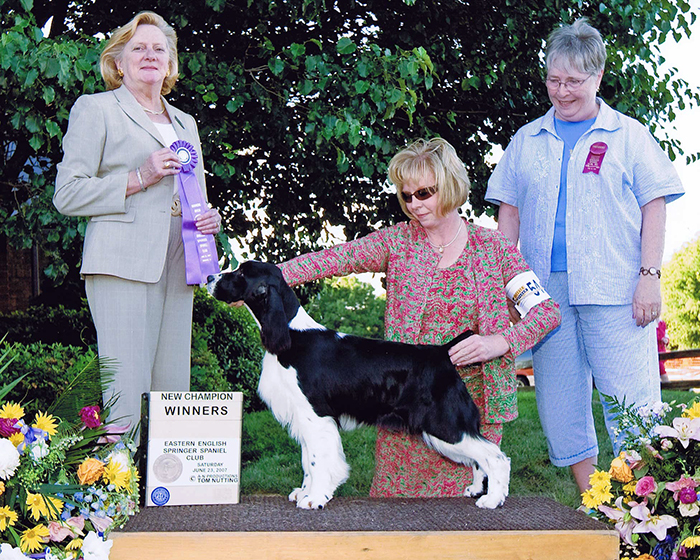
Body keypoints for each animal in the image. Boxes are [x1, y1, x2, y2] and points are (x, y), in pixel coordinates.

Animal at [207, 261, 510, 509]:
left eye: (241, 273)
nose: (209, 276)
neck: (291, 337)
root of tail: (443, 352)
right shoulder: (304, 417)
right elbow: (307, 461)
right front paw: (304, 492)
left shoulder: (317, 416)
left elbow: (318, 461)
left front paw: (315, 498)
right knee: (480, 457)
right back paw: (476, 489)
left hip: (445, 423)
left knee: (495, 457)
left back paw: (492, 499)